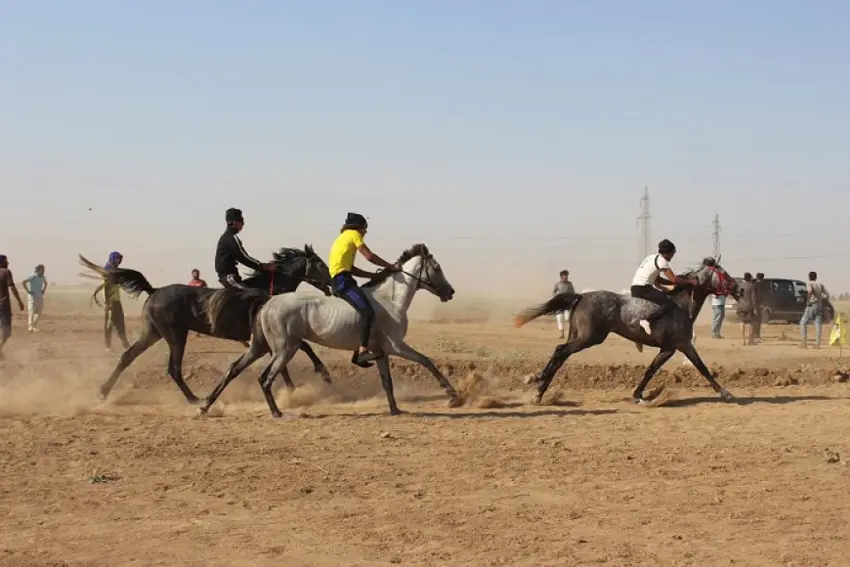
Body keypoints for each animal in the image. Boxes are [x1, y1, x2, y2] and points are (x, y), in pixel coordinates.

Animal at [199, 242, 464, 420]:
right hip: (285, 349)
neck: (391, 299)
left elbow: (387, 381)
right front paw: (453, 397)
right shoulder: (396, 346)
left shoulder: (381, 351)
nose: (450, 292)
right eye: (437, 267)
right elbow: (426, 361)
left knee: (235, 369)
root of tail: (268, 302)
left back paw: (205, 406)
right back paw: (277, 412)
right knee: (265, 378)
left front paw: (395, 409)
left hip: (261, 347)